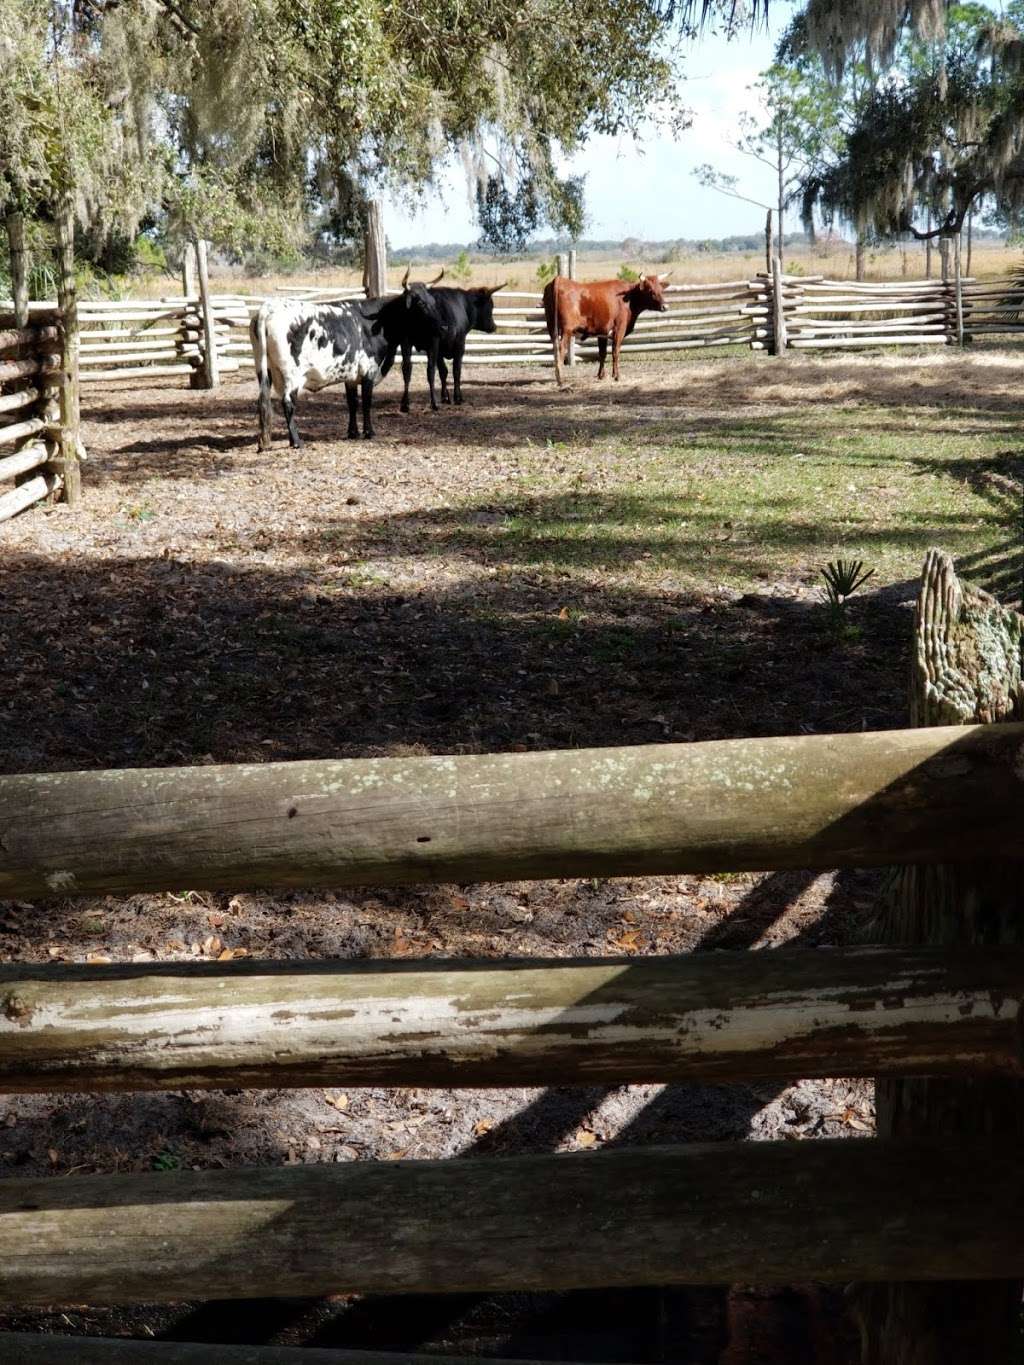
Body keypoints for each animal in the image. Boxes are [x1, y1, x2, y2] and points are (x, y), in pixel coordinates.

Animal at [251, 279, 442, 450]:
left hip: (264, 370)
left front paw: (353, 432)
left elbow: (352, 403)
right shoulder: (369, 372)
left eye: (433, 301)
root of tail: (268, 308)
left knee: (264, 401)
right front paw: (369, 432)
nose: (442, 327)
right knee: (288, 403)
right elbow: (366, 403)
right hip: (292, 375)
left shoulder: (351, 376)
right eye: (421, 303)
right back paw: (296, 442)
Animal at [404, 283, 510, 412]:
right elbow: (456, 370)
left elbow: (443, 372)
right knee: (430, 371)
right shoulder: (459, 345)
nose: (494, 326)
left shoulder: (439, 352)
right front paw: (458, 397)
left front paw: (445, 397)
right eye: (490, 306)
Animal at [546, 270, 674, 384]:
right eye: (650, 291)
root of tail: (560, 280)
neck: (628, 298)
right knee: (561, 349)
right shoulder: (619, 329)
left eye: (661, 290)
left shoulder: (602, 332)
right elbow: (615, 351)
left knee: (555, 348)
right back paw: (560, 379)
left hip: (551, 327)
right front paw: (616, 376)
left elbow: (602, 353)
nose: (665, 307)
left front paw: (601, 375)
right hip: (566, 330)